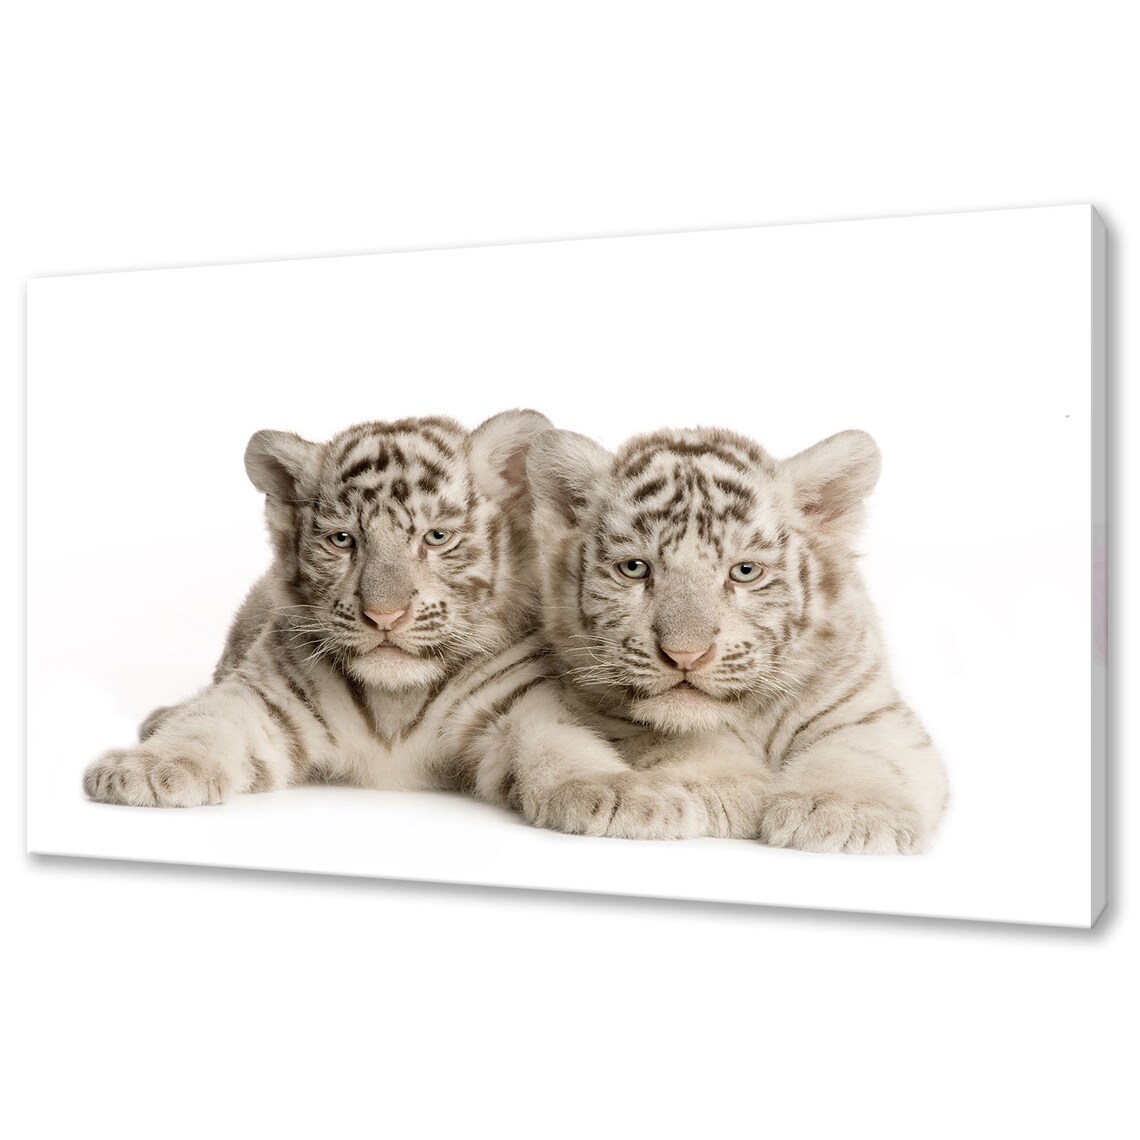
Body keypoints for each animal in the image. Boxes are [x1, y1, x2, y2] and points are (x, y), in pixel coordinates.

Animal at [82, 410, 717, 840]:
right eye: (344, 540)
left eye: (435, 537)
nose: (383, 615)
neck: (396, 701)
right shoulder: (265, 694)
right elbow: (208, 723)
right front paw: (148, 767)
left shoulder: (523, 705)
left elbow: (564, 746)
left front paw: (626, 797)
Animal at [524, 424, 949, 854]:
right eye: (634, 568)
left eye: (745, 571)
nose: (684, 654)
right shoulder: (597, 706)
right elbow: (672, 738)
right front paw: (723, 788)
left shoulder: (869, 707)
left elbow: (865, 752)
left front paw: (846, 812)